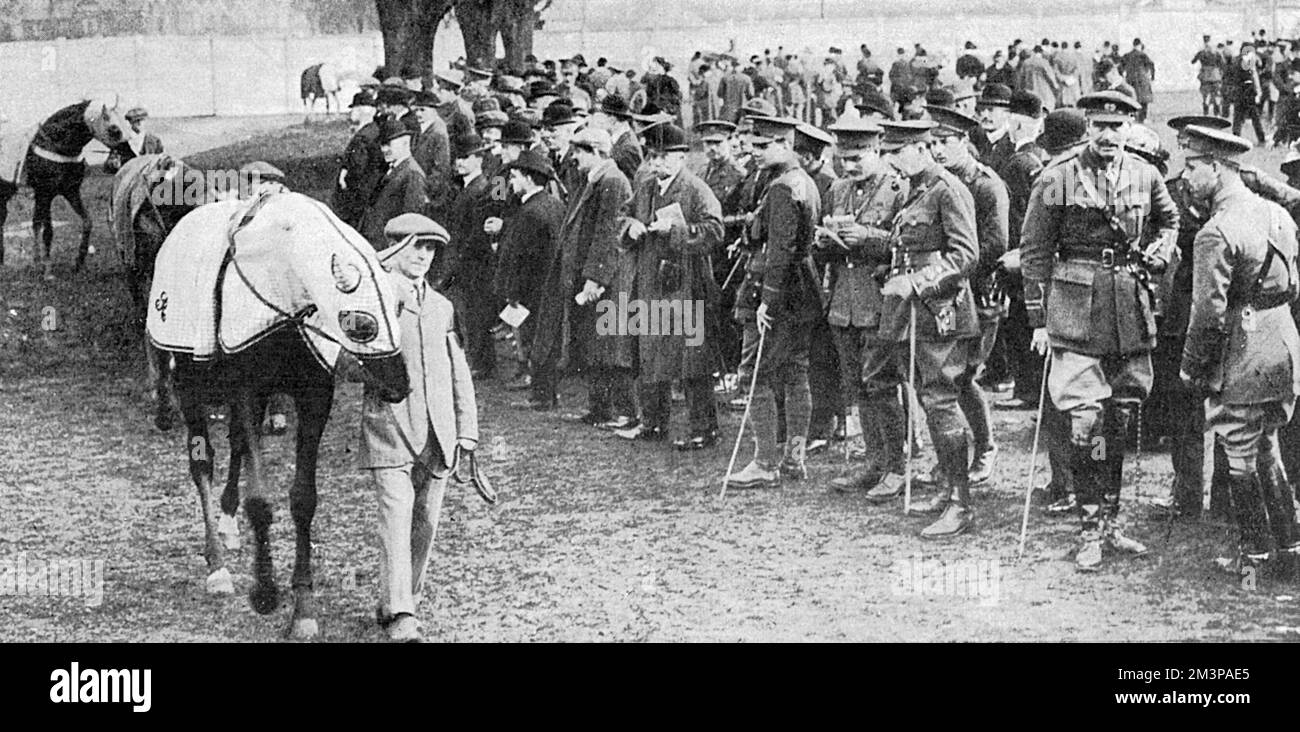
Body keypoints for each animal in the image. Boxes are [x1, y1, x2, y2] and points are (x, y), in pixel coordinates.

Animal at [0, 96, 139, 278]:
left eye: (126, 124)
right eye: (114, 129)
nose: (132, 156)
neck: (55, 144)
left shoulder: (71, 192)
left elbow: (87, 222)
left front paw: (79, 262)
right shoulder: (45, 193)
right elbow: (48, 231)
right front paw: (47, 270)